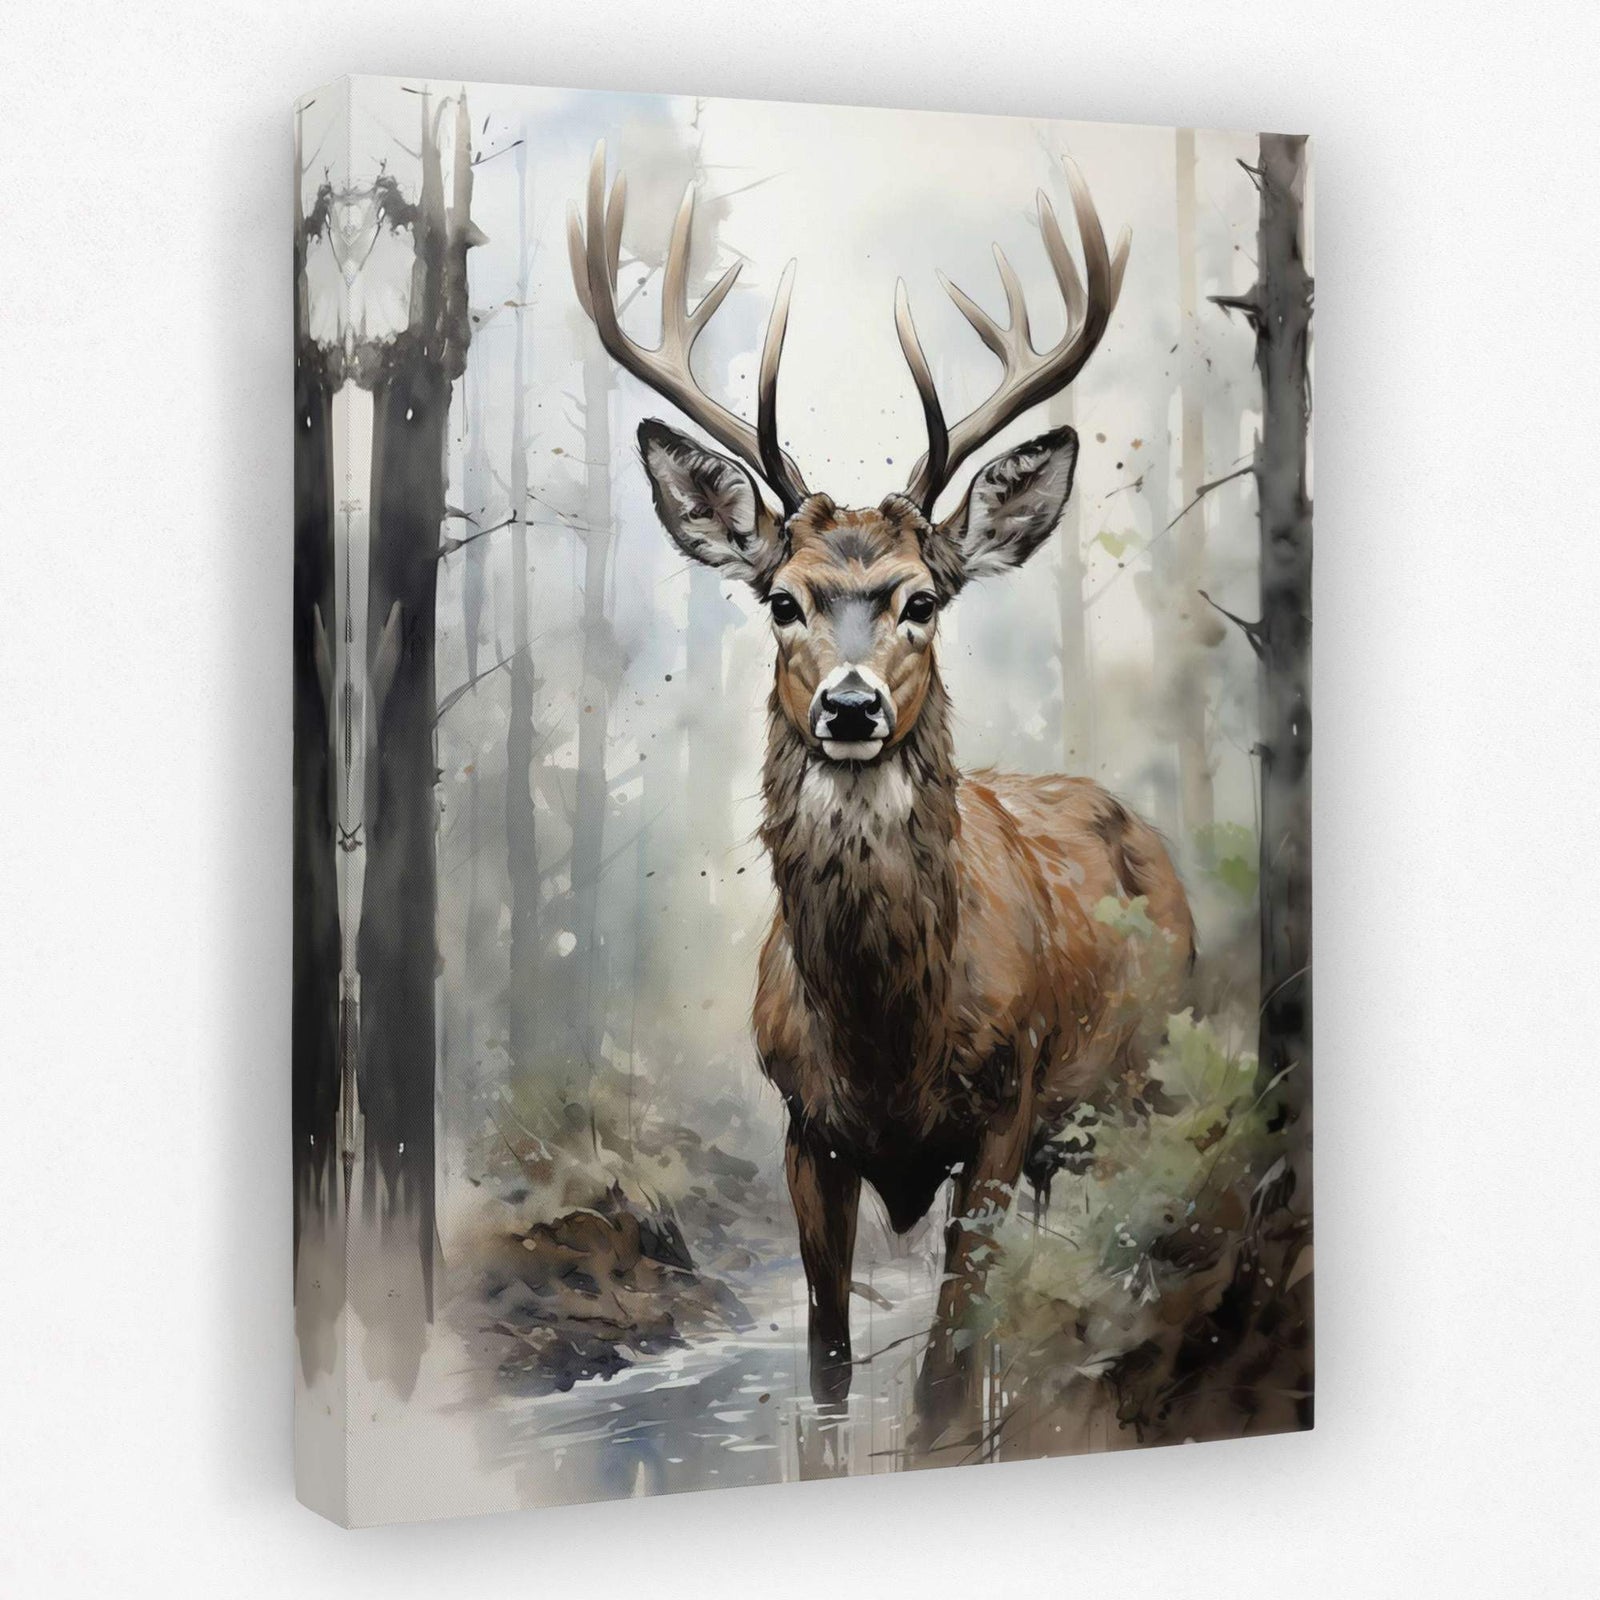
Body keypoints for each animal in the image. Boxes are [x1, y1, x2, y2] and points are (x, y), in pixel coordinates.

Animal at [569, 143, 1195, 1437]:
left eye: (921, 599)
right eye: (781, 599)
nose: (849, 709)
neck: (888, 1046)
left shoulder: (1003, 1109)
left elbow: (944, 1383)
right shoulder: (805, 1127)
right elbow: (828, 1367)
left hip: (1141, 1082)